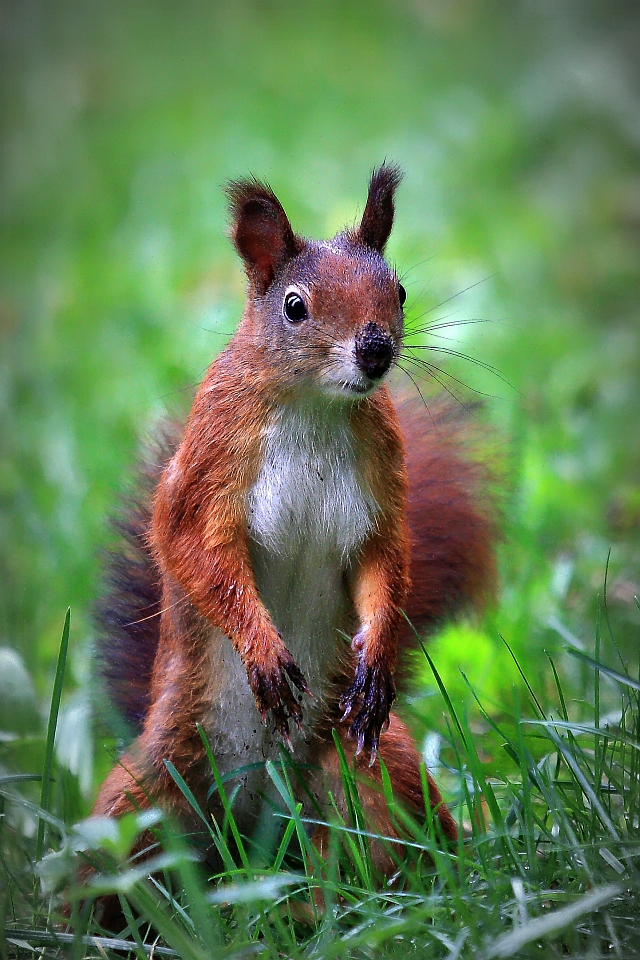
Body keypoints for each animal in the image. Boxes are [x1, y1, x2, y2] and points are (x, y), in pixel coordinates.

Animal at [92, 165, 498, 884]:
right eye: (294, 306)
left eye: (398, 290)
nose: (376, 350)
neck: (316, 403)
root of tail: (247, 833)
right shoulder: (209, 464)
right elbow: (198, 555)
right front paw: (264, 650)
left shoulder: (380, 487)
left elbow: (384, 564)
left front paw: (377, 653)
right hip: (140, 799)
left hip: (370, 771)